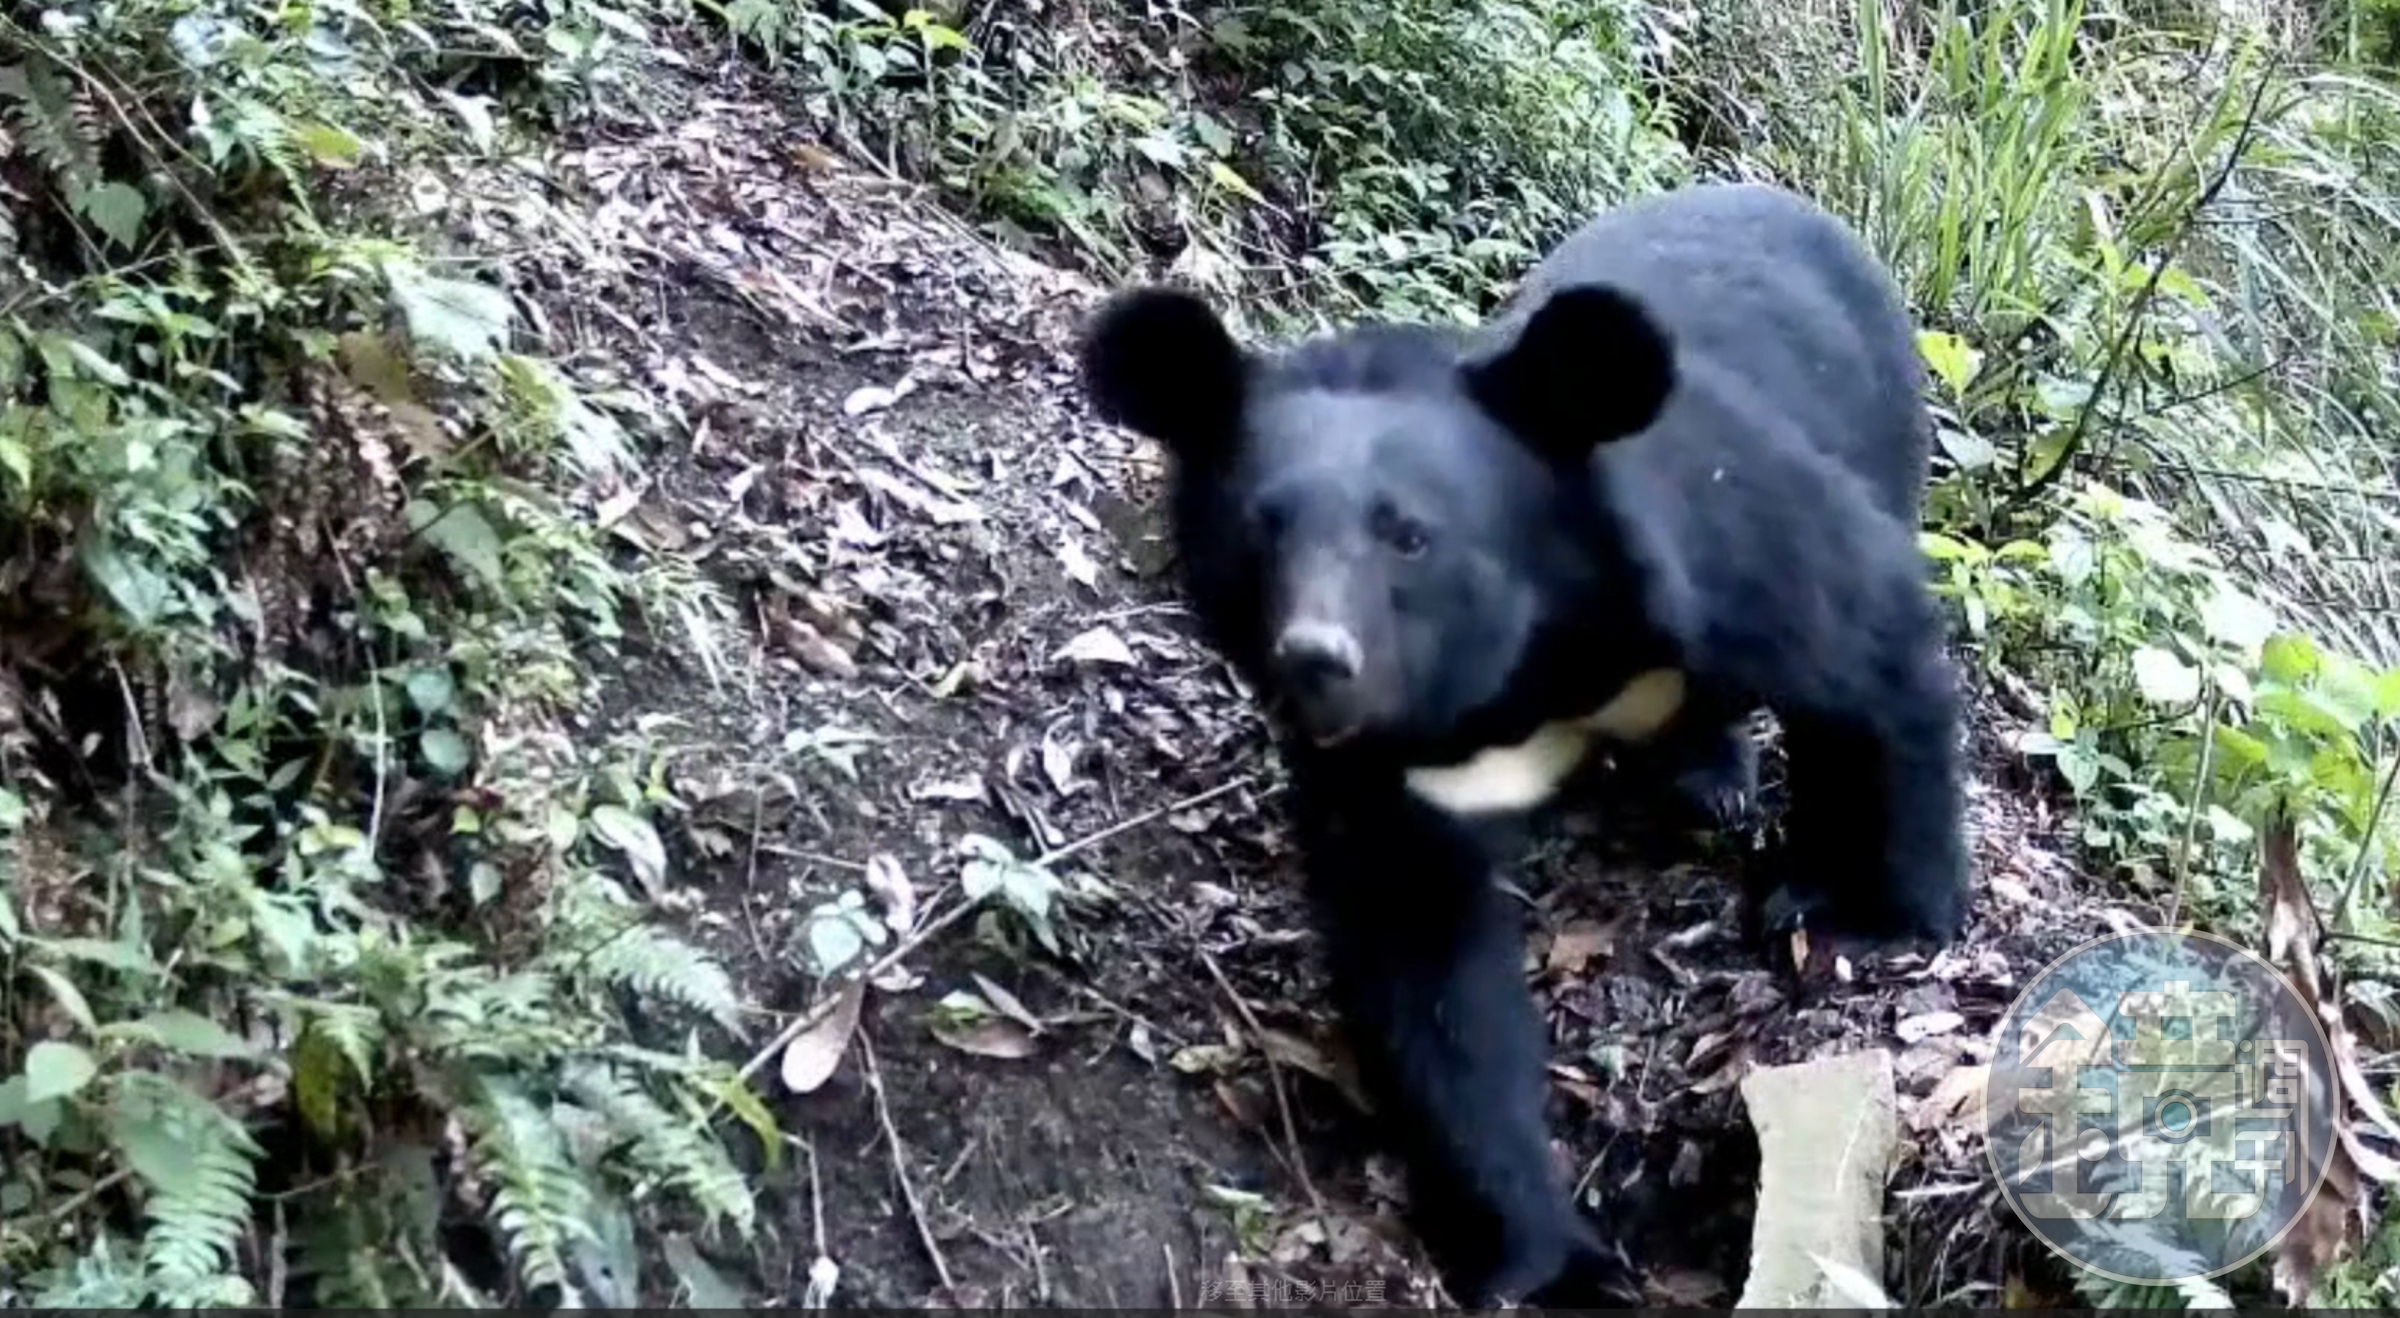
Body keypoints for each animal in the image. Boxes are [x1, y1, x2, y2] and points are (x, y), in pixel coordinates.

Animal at [1077, 180, 1971, 1307]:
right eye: (1262, 533)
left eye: (1409, 535)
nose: (1316, 660)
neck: (1527, 669)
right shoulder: (1394, 774)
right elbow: (1428, 966)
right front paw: (1550, 1261)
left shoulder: (1720, 542)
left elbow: (1868, 652)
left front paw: (1871, 918)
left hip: (1885, 431)